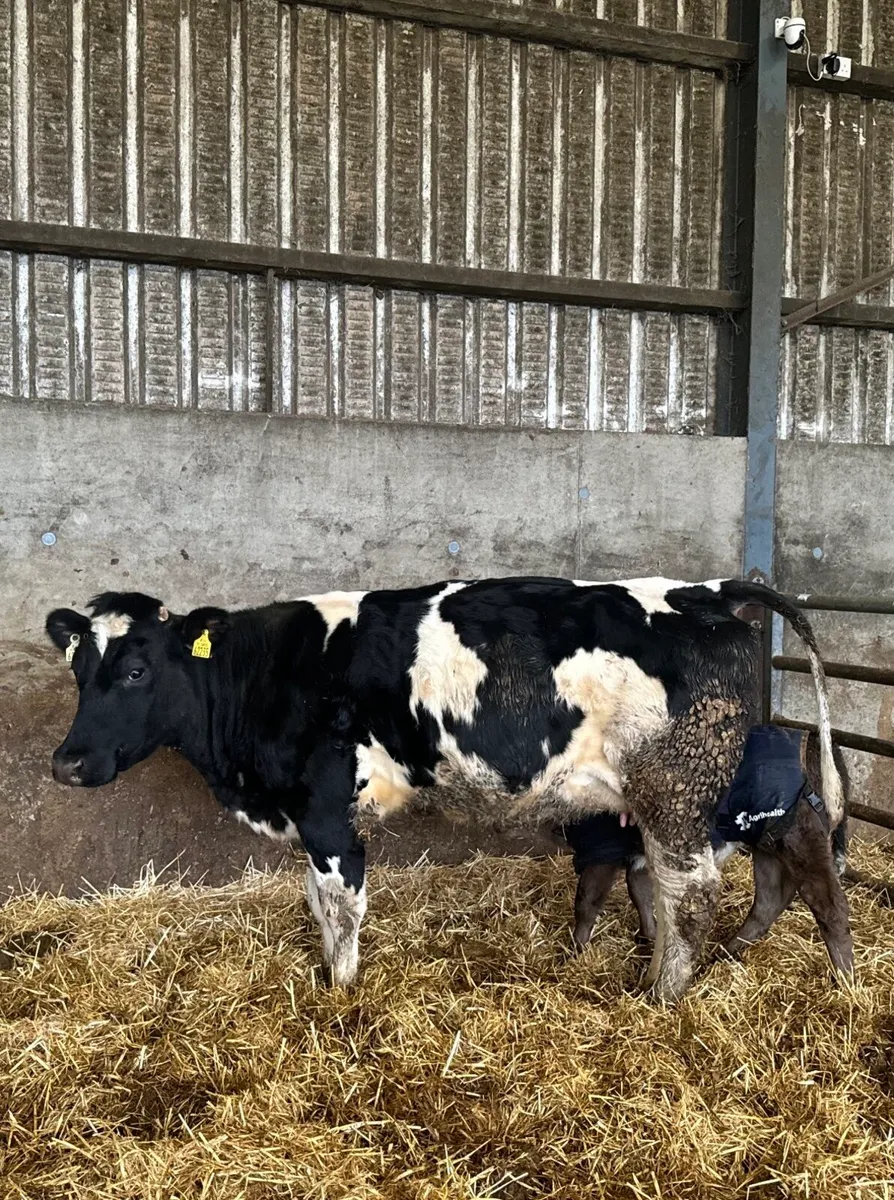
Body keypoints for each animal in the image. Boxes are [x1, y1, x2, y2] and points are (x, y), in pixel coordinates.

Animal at [562, 726, 853, 976]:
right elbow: (639, 892)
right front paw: (649, 937)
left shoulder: (601, 847)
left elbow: (587, 901)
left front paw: (574, 954)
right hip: (768, 841)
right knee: (769, 900)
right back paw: (725, 953)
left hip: (801, 834)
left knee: (829, 905)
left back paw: (846, 980)